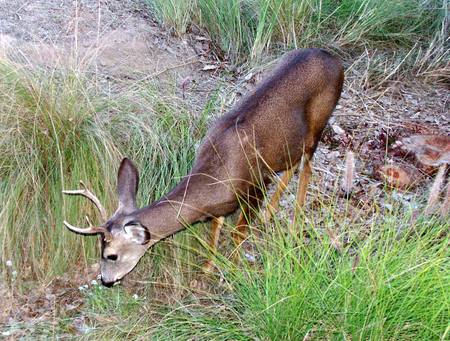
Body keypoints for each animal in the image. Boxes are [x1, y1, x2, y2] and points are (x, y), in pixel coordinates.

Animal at [62, 47, 344, 286]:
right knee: (294, 164)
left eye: (111, 255)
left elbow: (238, 234)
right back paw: (270, 215)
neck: (214, 175)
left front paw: (232, 269)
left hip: (318, 125)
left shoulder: (256, 185)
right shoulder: (221, 207)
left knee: (307, 167)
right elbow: (214, 231)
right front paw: (207, 268)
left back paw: (293, 221)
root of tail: (333, 58)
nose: (106, 280)